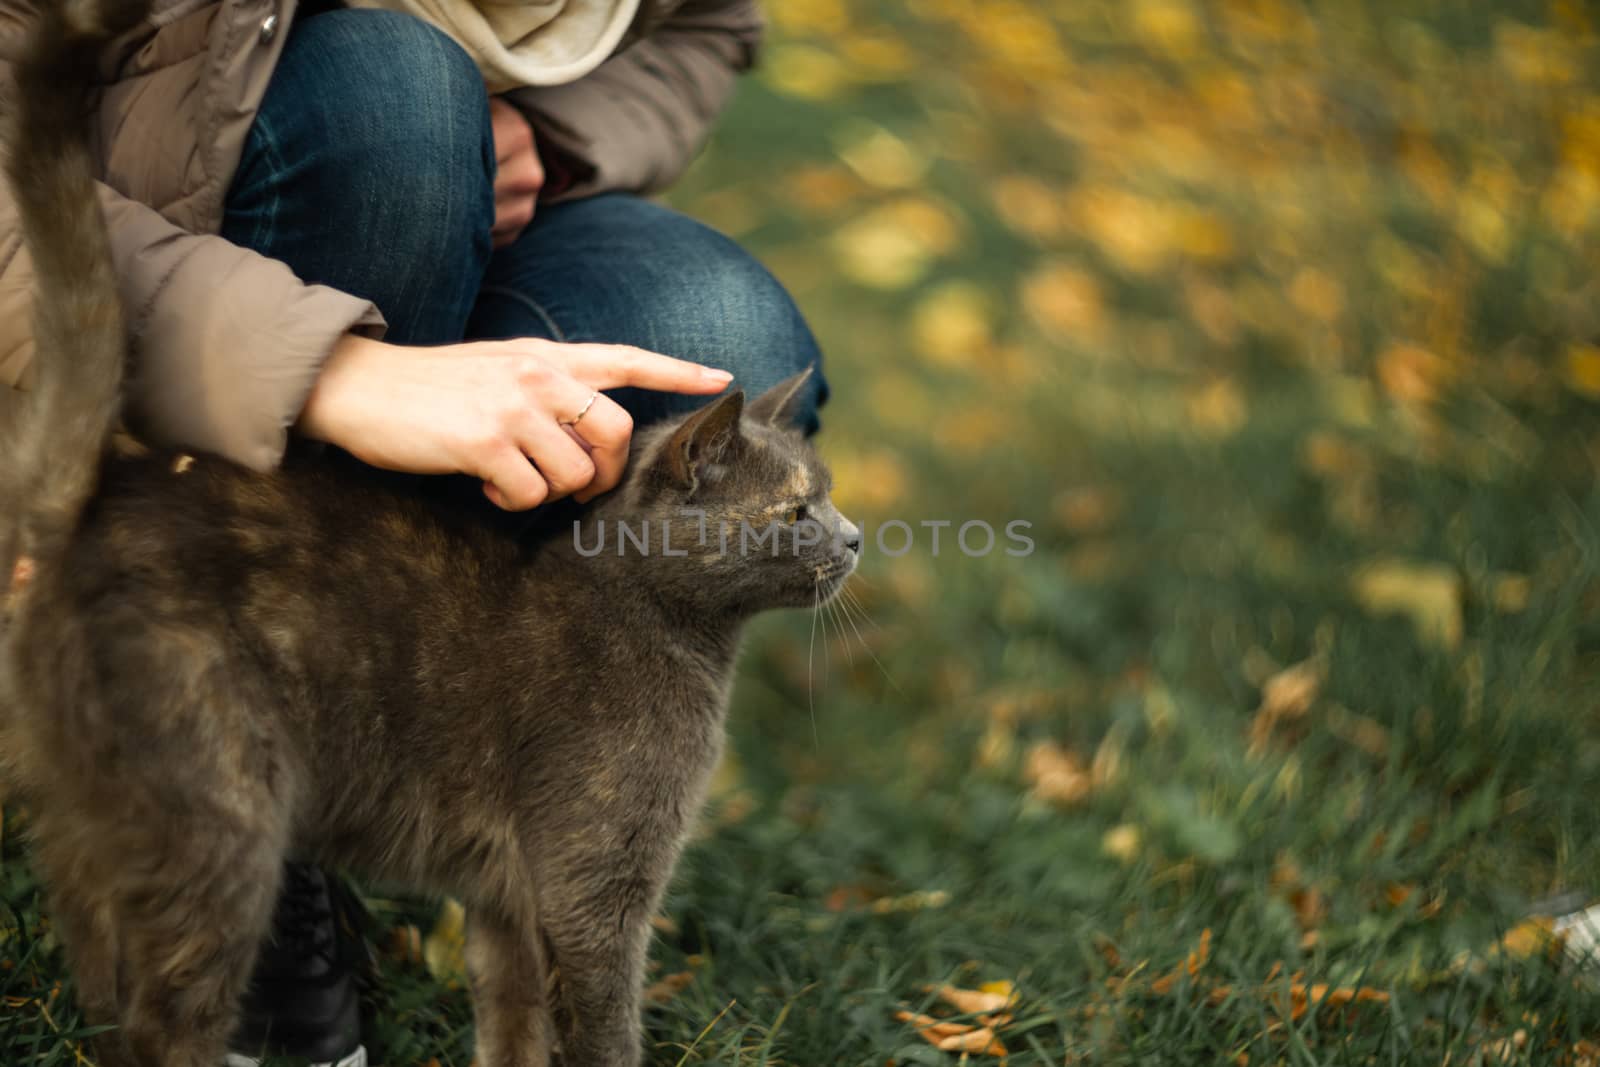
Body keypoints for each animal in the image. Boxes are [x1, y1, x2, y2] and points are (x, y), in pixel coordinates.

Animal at [0, 2, 864, 1067]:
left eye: (828, 497)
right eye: (797, 511)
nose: (856, 537)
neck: (674, 639)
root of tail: (74, 520)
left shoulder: (508, 899)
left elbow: (514, 1023)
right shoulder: (594, 884)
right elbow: (606, 1025)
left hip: (97, 841)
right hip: (219, 817)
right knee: (171, 1018)